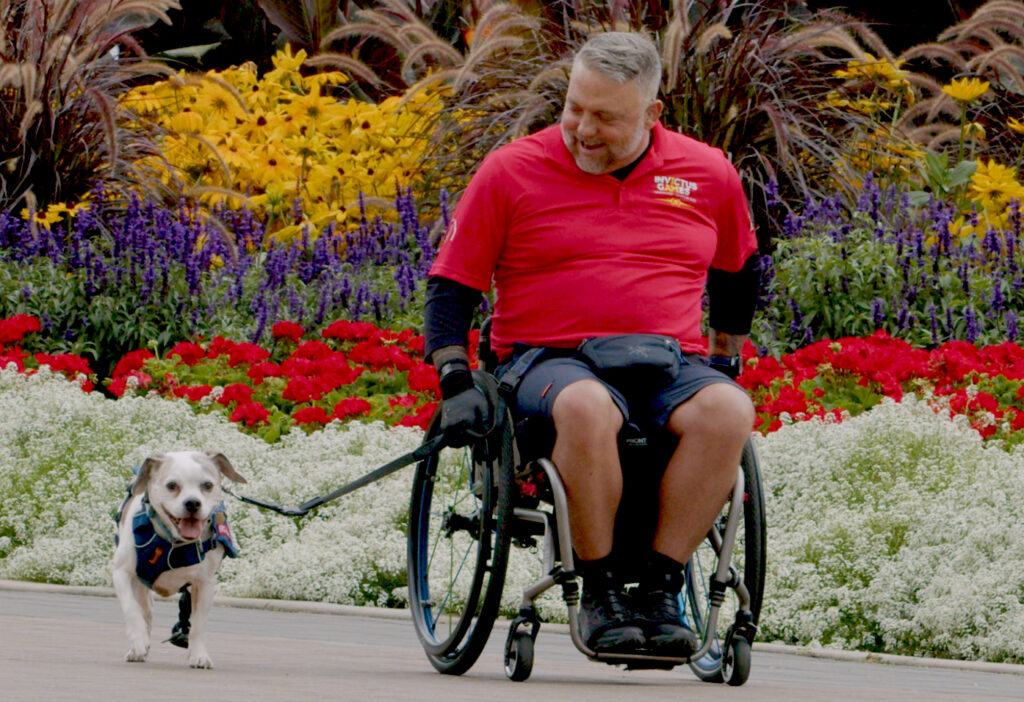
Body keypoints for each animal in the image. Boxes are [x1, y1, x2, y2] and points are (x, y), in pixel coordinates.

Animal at [113, 454, 245, 667]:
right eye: (172, 485)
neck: (175, 543)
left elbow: (199, 623)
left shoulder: (205, 583)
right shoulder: (121, 573)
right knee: (145, 612)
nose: (193, 503)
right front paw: (139, 641)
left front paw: (199, 655)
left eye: (208, 485)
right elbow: (131, 608)